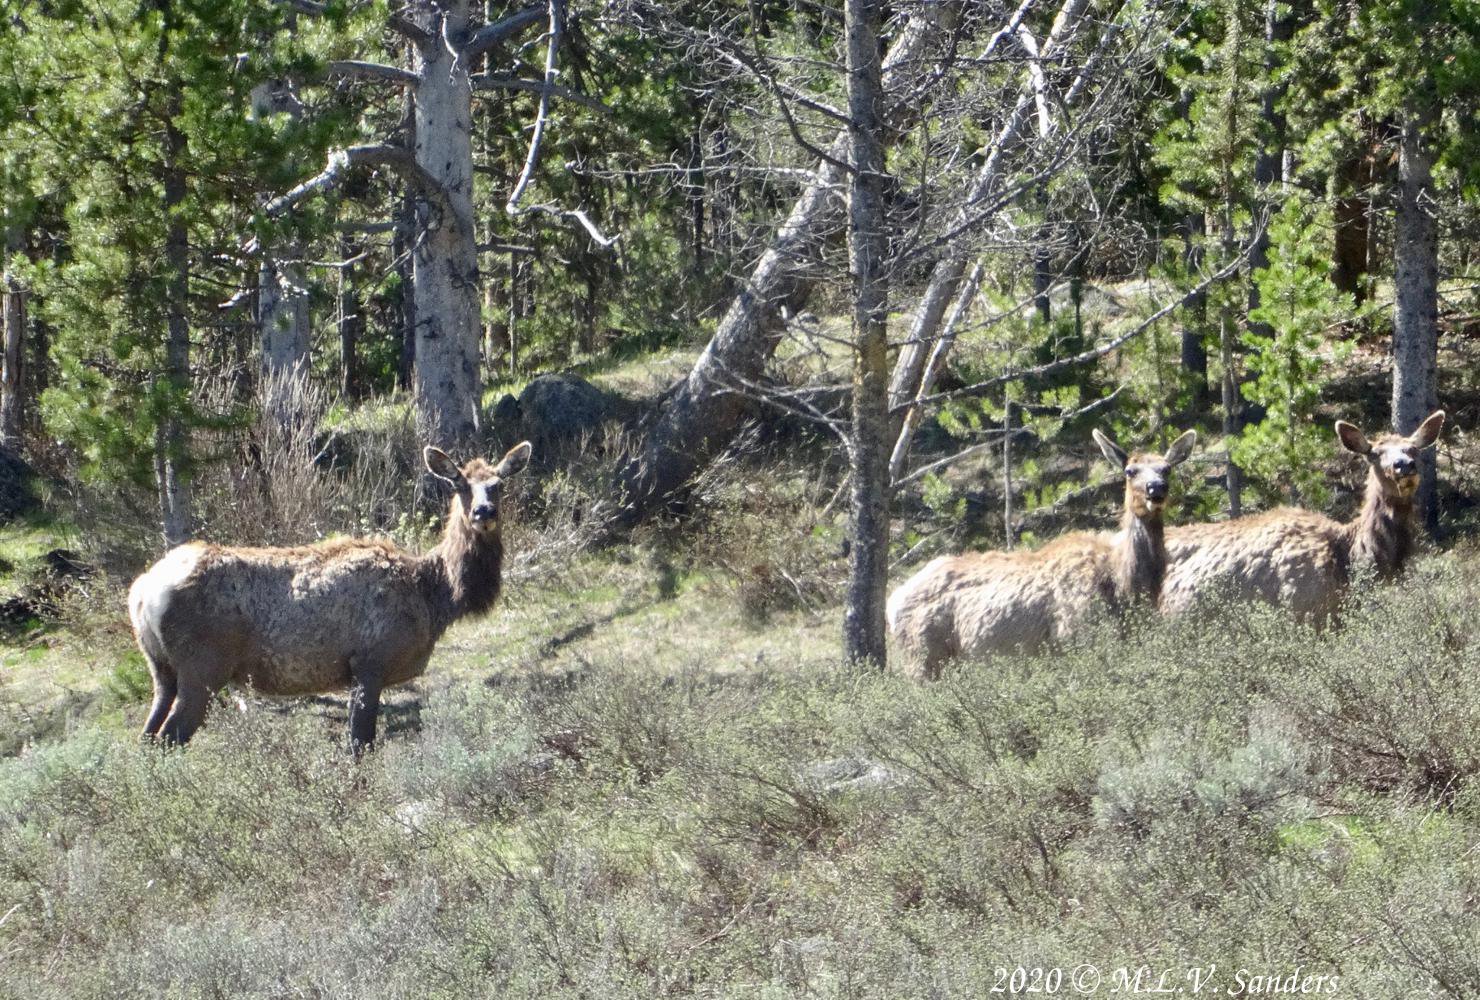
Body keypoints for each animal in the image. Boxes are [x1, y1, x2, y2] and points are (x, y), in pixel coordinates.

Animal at [127, 443, 532, 751]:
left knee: (146, 736)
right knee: (168, 738)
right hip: (203, 667)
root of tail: (141, 593)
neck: (434, 597)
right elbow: (360, 746)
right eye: (459, 484)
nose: (483, 511)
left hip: (161, 668)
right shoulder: (370, 661)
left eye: (498, 484)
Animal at [882, 426, 1195, 683]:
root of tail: (892, 600)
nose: (1156, 488)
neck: (1124, 586)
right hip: (922, 658)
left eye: (1167, 468)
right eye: (1131, 471)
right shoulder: (1075, 639)